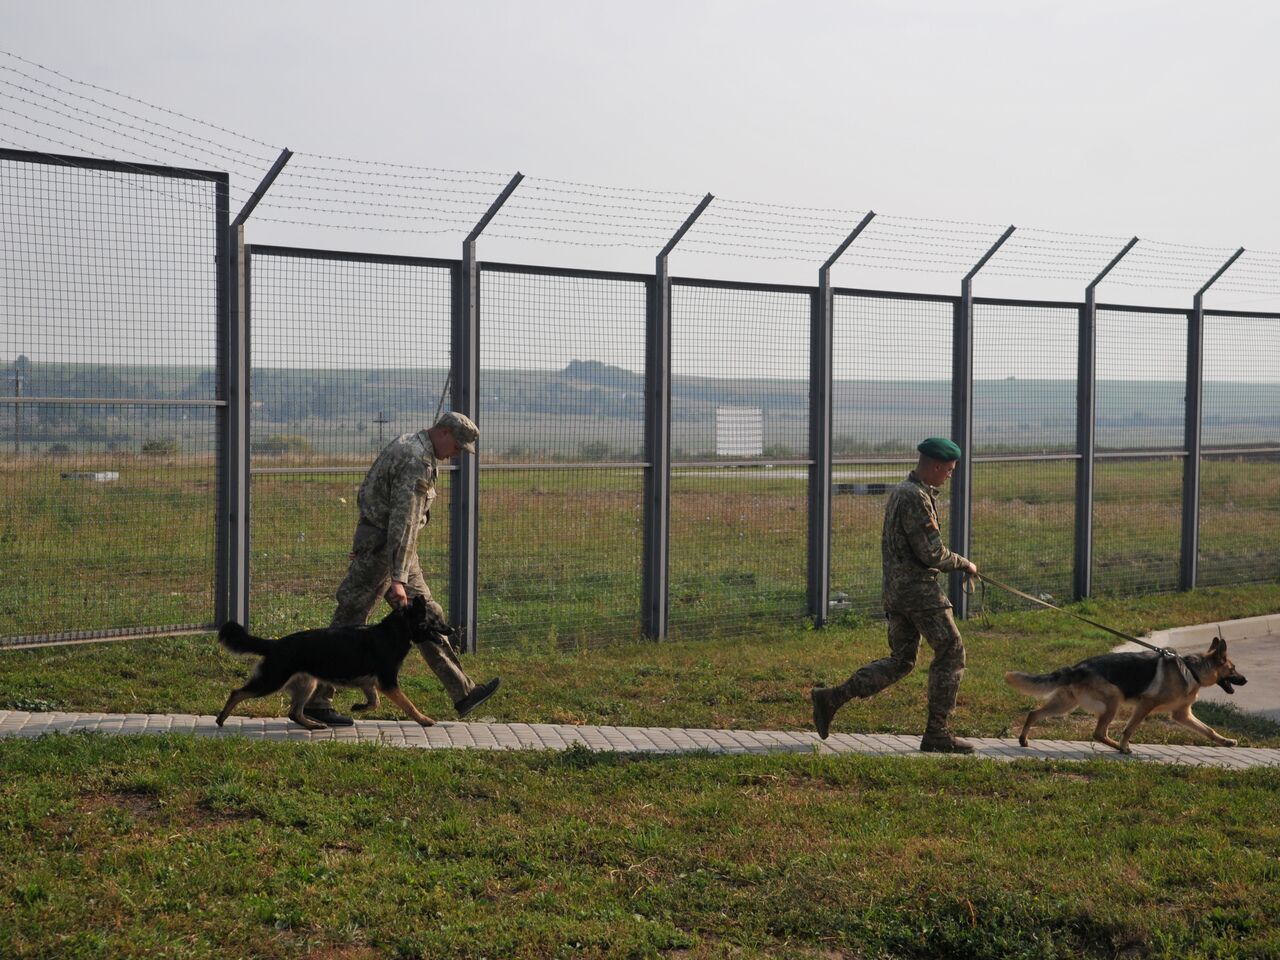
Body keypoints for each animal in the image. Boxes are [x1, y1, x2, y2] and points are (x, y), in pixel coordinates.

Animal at [209, 599, 450, 732]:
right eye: (436, 621)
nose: (453, 630)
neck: (394, 631)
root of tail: (275, 644)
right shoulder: (388, 683)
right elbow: (409, 705)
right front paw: (424, 720)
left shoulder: (370, 684)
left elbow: (375, 702)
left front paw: (358, 707)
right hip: (271, 682)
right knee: (237, 692)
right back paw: (221, 719)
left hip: (308, 684)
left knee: (293, 713)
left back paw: (313, 725)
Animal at [1003, 640, 1244, 757]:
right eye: (1233, 669)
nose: (1246, 679)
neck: (1193, 670)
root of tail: (1076, 668)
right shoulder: (1146, 704)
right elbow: (1129, 729)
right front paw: (1125, 744)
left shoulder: (1181, 715)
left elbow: (1208, 730)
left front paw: (1226, 742)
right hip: (1114, 701)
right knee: (1099, 733)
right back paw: (1121, 748)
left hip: (1065, 704)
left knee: (1034, 712)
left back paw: (1023, 739)